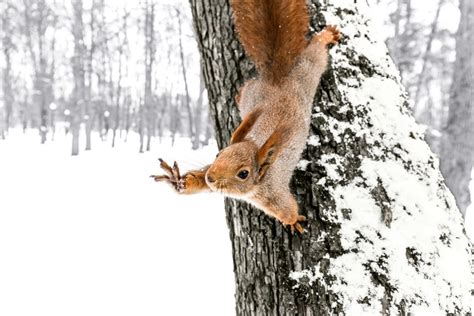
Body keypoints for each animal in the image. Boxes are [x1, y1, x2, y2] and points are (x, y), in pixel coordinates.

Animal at [150, 0, 338, 232]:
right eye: (218, 154)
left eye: (243, 174)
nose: (212, 177)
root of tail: (277, 78)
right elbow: (199, 181)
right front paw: (179, 181)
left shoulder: (274, 193)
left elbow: (286, 209)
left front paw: (293, 221)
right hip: (253, 92)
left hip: (308, 72)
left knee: (315, 54)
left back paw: (327, 35)